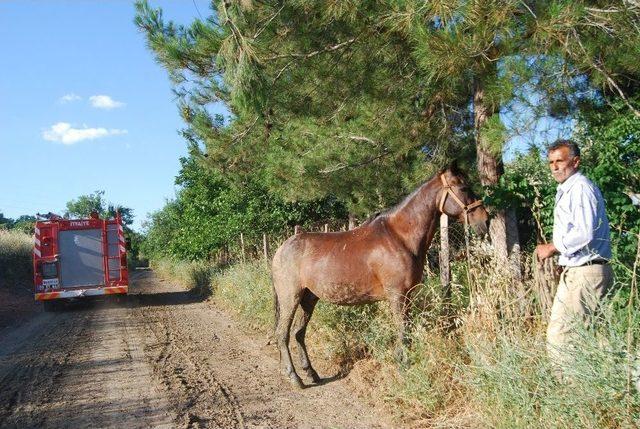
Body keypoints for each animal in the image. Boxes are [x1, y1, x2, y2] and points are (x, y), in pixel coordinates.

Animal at [272, 166, 490, 386]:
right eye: (463, 187)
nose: (485, 220)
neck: (399, 237)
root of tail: (281, 249)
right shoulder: (398, 296)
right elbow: (403, 332)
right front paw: (403, 367)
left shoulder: (407, 296)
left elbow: (406, 330)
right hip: (290, 299)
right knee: (283, 334)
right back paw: (295, 377)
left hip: (309, 299)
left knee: (299, 334)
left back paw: (311, 373)